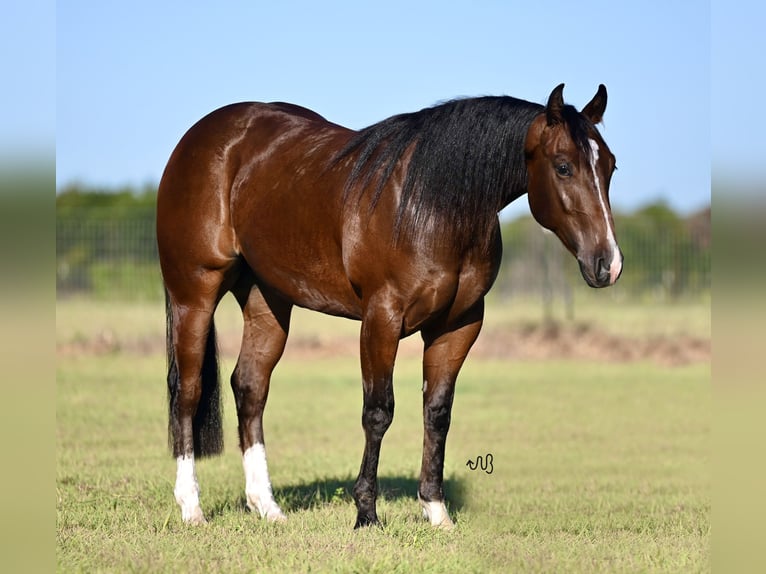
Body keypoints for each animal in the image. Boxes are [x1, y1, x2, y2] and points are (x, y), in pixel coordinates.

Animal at [156, 84, 624, 532]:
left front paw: (436, 512)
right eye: (563, 166)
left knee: (250, 387)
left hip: (266, 299)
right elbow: (378, 412)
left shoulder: (458, 326)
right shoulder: (382, 318)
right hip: (194, 294)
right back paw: (192, 508)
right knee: (188, 390)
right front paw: (366, 513)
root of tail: (200, 138)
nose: (608, 264)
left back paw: (266, 506)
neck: (433, 205)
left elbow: (437, 413)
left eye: (611, 166)